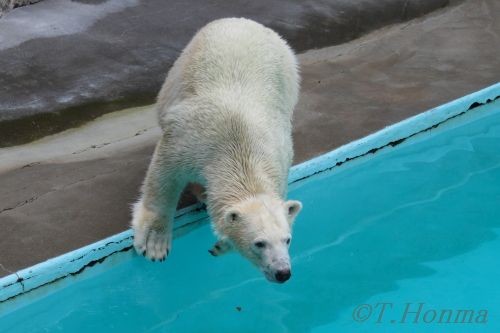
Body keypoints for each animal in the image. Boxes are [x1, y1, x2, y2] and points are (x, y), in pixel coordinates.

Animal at [132, 17, 300, 282]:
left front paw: (222, 245)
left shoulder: (280, 154)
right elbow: (164, 176)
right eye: (259, 243)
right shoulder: (188, 138)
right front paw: (154, 243)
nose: (283, 272)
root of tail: (246, 21)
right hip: (180, 70)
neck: (240, 148)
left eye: (287, 239)